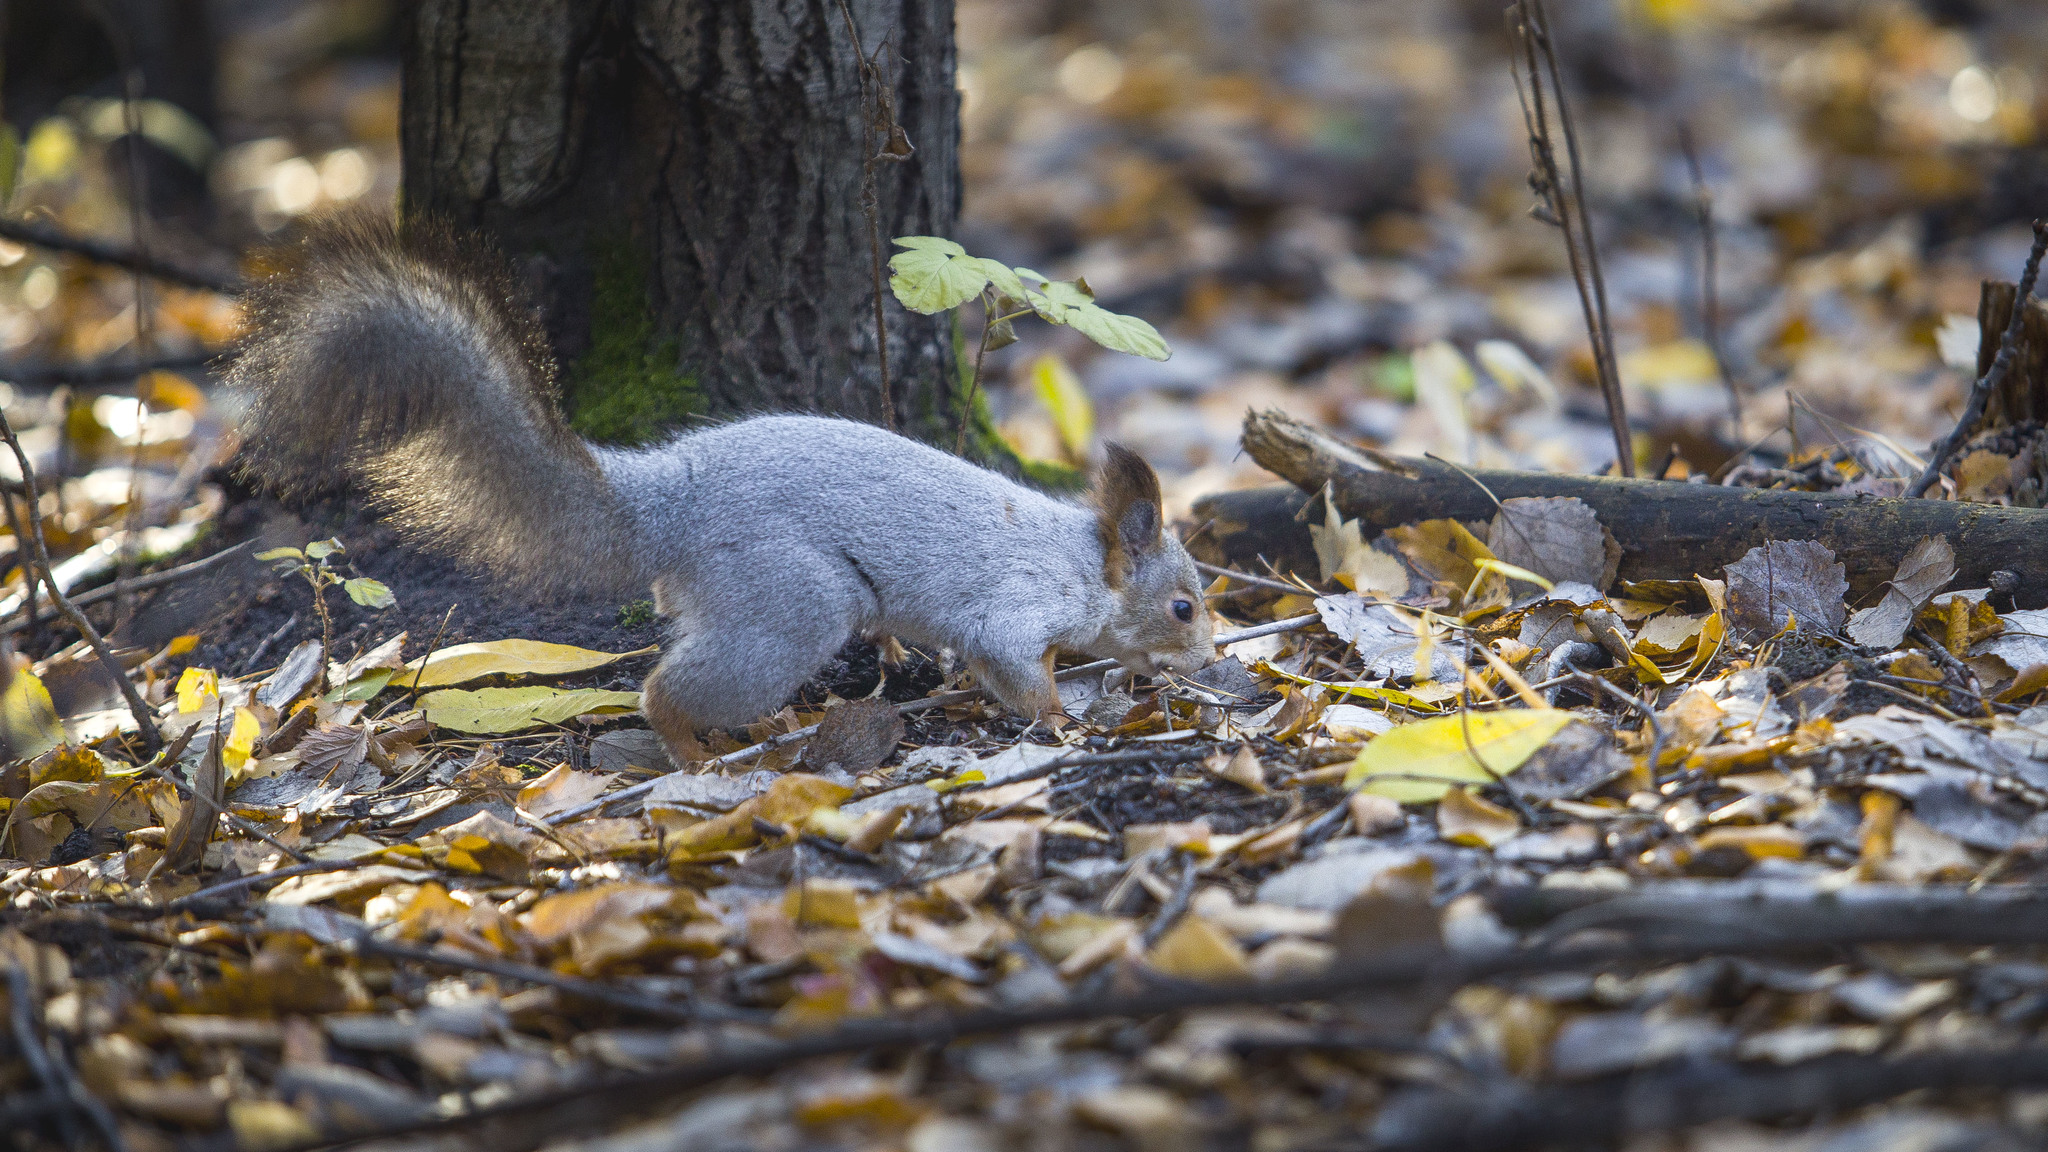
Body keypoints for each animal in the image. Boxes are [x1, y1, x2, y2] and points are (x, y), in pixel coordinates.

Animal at [228, 217, 1212, 754]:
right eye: (1183, 608)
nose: (1211, 660)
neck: (1080, 560)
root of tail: (669, 498)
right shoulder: (1013, 603)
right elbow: (1013, 664)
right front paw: (1063, 719)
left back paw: (759, 732)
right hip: (789, 600)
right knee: (667, 691)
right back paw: (697, 752)